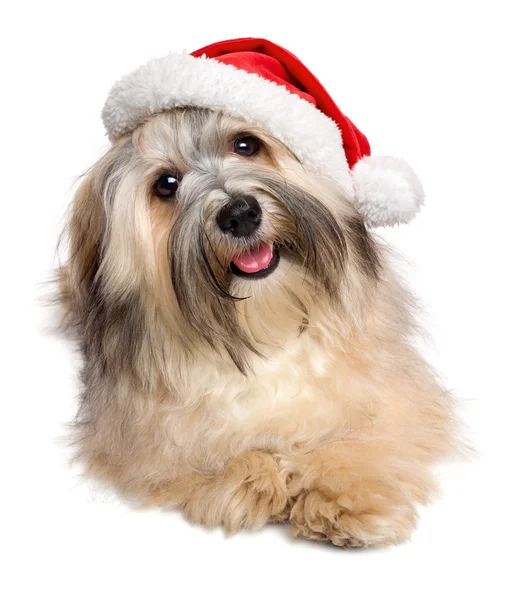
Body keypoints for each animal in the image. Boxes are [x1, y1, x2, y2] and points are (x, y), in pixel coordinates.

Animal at [57, 38, 458, 548]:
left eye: (246, 144)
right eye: (166, 184)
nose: (239, 213)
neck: (266, 327)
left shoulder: (393, 389)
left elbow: (371, 431)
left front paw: (344, 495)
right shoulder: (138, 438)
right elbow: (195, 450)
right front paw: (252, 479)